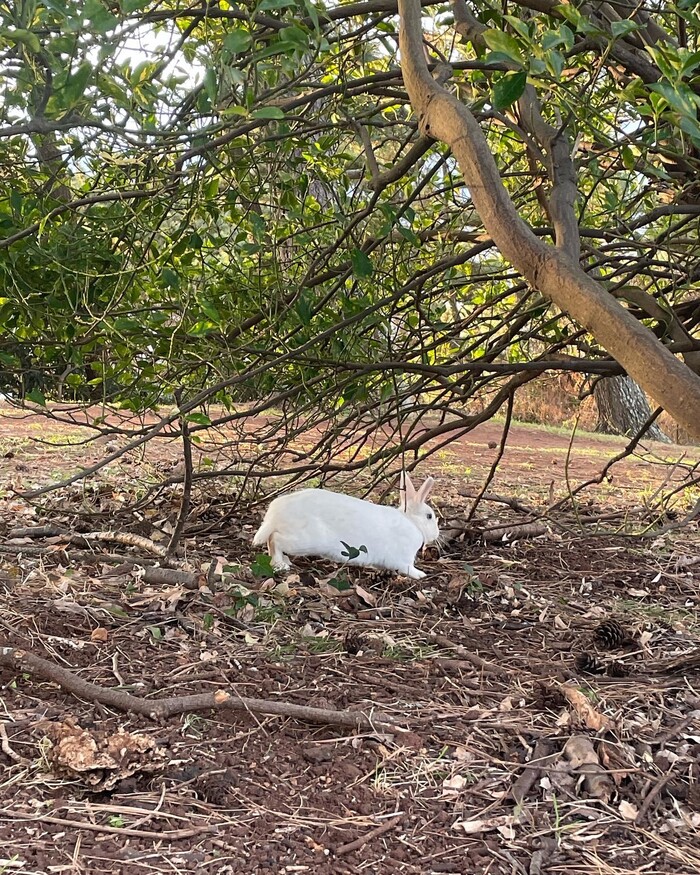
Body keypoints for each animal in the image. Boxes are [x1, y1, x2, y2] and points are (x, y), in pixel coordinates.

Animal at [252, 476, 438, 580]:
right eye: (429, 516)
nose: (436, 534)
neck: (412, 522)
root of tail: (275, 512)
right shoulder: (404, 559)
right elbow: (408, 568)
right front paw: (421, 575)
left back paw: (284, 561)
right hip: (305, 540)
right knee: (275, 539)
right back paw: (280, 565)